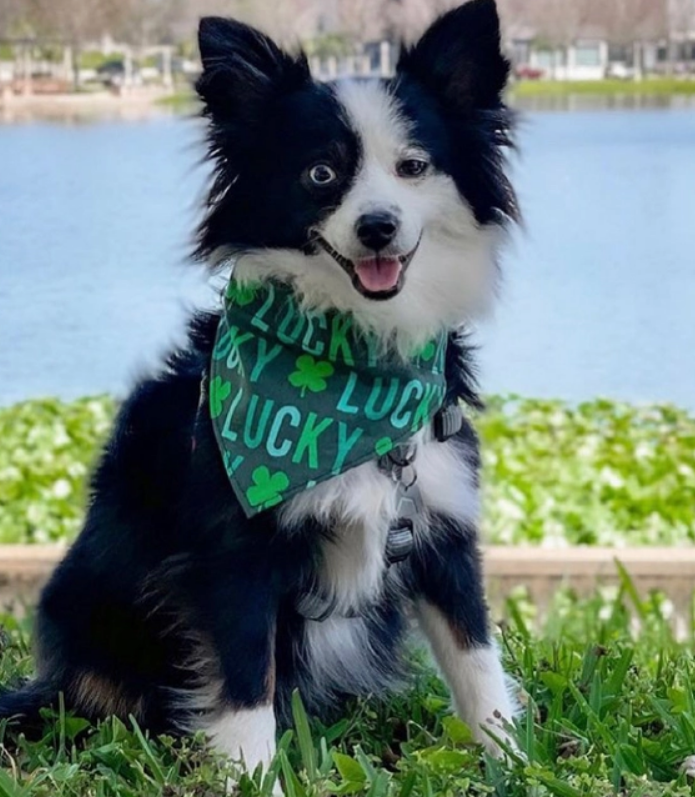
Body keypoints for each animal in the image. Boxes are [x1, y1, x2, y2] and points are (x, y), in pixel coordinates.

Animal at [0, 0, 520, 784]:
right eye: (320, 173)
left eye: (413, 167)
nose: (378, 227)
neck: (351, 360)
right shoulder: (233, 548)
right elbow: (246, 681)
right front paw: (250, 776)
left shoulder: (439, 522)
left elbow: (475, 655)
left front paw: (511, 755)